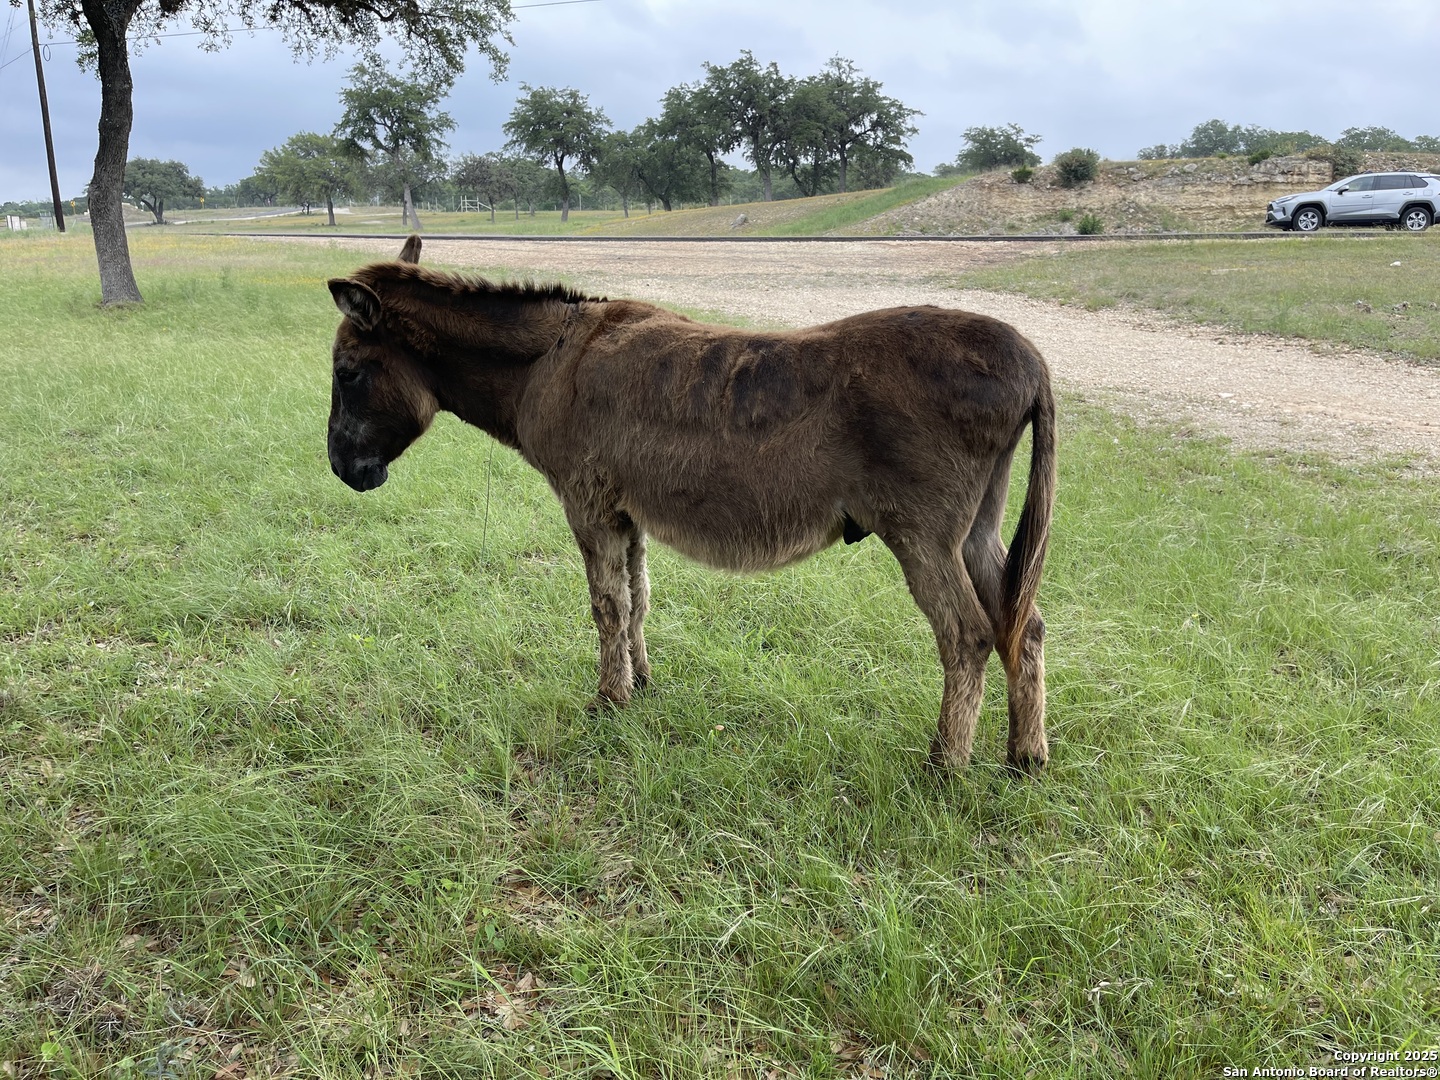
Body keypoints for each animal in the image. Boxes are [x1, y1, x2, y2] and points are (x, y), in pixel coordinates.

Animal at [326, 236, 1057, 774]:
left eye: (347, 373)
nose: (341, 470)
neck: (550, 361)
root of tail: (1029, 358)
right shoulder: (627, 511)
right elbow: (637, 598)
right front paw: (641, 683)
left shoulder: (587, 504)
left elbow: (606, 604)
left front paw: (608, 701)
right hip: (977, 530)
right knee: (1023, 626)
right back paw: (1025, 759)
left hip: (921, 535)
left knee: (966, 634)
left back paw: (944, 767)